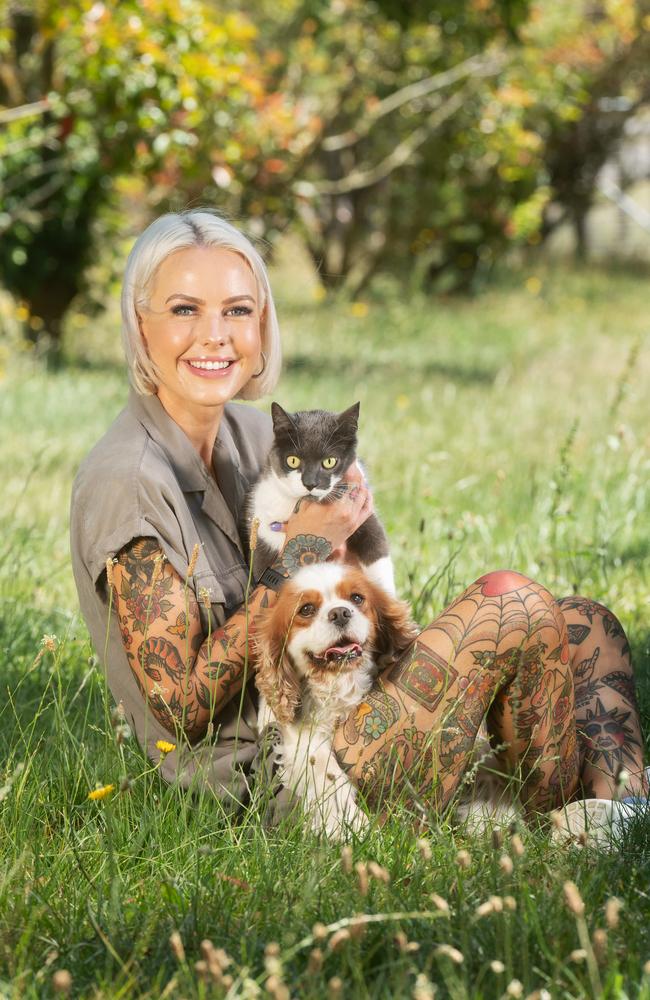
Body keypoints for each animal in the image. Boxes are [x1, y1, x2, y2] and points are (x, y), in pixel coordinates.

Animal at [244, 402, 392, 592]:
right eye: (293, 460)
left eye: (329, 461)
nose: (310, 483)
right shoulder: (263, 527)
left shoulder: (364, 512)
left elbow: (377, 547)